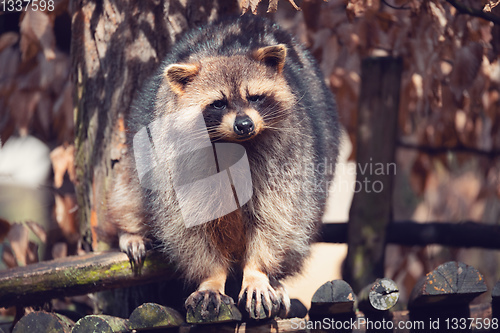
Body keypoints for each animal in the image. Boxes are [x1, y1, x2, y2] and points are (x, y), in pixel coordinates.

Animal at [106, 15, 340, 320]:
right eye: (218, 103)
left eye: (254, 97)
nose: (245, 125)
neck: (234, 143)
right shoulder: (176, 162)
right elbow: (187, 226)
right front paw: (211, 277)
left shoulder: (288, 156)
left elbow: (276, 216)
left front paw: (257, 272)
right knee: (131, 184)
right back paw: (130, 228)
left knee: (299, 225)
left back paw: (277, 280)